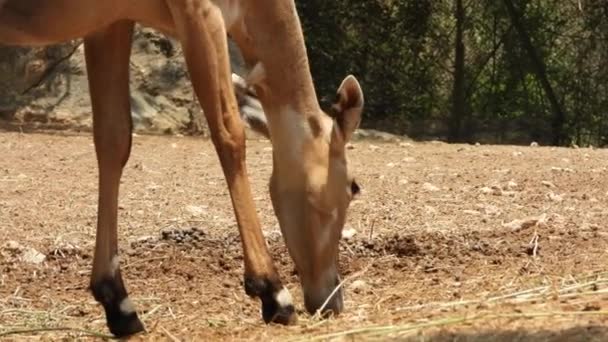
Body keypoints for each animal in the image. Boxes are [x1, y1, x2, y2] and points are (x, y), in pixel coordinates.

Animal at [1, 0, 366, 336]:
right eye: (353, 186)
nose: (331, 300)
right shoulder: (201, 11)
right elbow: (229, 132)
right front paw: (273, 293)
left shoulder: (109, 22)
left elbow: (114, 138)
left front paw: (119, 303)